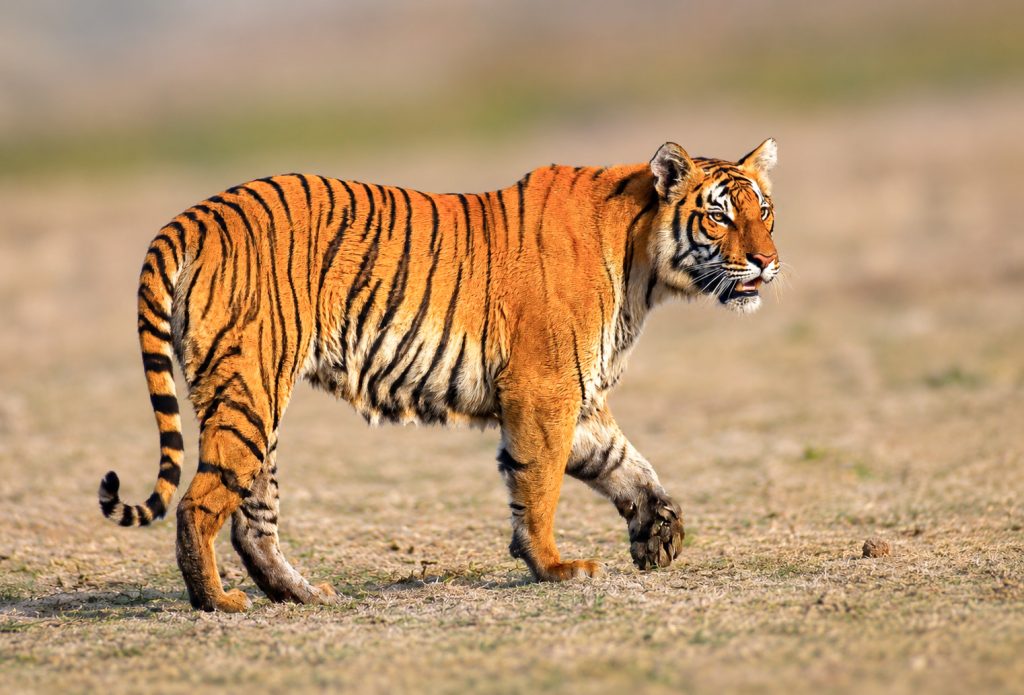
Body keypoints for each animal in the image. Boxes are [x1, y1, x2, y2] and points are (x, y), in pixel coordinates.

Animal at [97, 138, 780, 612]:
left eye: (765, 210)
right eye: (719, 217)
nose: (767, 262)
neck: (644, 266)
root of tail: (195, 216)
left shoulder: (579, 397)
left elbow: (627, 463)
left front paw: (659, 532)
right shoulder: (545, 389)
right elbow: (540, 487)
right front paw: (555, 568)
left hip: (255, 403)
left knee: (251, 518)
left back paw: (302, 595)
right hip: (250, 390)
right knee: (199, 503)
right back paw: (217, 602)